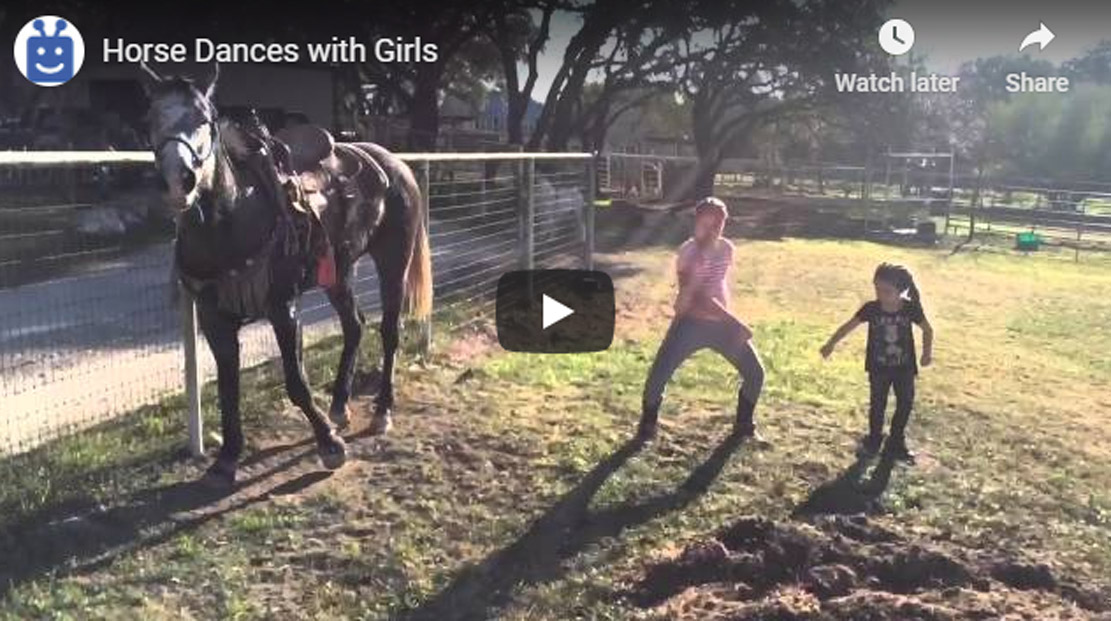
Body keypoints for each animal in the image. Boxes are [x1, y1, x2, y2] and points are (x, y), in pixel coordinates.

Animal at [149, 64, 435, 491]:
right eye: (151, 119)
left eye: (204, 119)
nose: (176, 180)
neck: (234, 215)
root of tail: (394, 164)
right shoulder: (215, 317)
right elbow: (229, 387)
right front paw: (226, 458)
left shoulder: (282, 306)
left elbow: (296, 381)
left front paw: (329, 445)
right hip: (339, 272)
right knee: (354, 326)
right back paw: (339, 406)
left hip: (393, 261)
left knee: (389, 331)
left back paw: (382, 410)